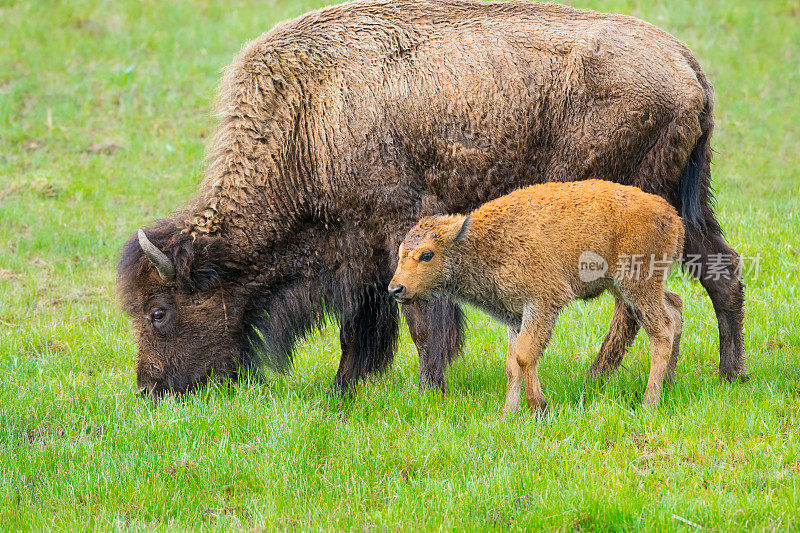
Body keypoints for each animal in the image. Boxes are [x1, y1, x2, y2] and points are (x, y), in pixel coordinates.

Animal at [117, 0, 744, 394]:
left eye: (158, 311)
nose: (151, 388)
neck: (306, 121)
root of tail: (685, 63)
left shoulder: (397, 231)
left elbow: (417, 319)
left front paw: (428, 389)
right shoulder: (362, 256)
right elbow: (361, 325)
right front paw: (345, 388)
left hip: (630, 214)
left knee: (639, 304)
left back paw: (602, 378)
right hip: (685, 208)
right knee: (721, 271)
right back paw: (728, 373)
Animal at [390, 181, 684, 418]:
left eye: (427, 255)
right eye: (401, 252)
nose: (395, 289)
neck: (483, 240)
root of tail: (672, 216)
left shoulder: (541, 303)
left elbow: (524, 354)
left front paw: (537, 408)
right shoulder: (514, 315)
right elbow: (512, 365)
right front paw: (506, 415)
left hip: (637, 284)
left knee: (661, 330)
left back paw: (648, 403)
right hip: (628, 286)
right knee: (675, 306)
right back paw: (669, 382)